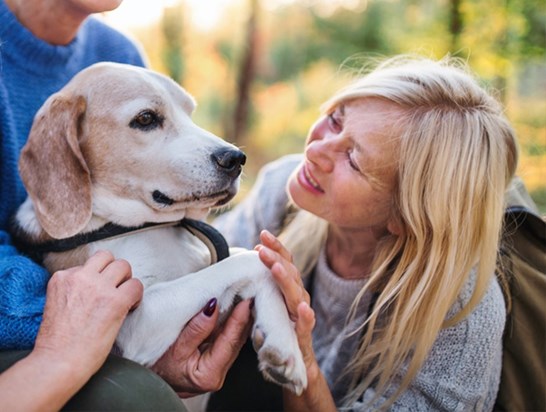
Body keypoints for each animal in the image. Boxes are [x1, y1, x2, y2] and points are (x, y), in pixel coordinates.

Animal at [12, 62, 306, 396]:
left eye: (190, 112)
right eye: (146, 119)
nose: (235, 158)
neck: (146, 226)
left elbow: (256, 262)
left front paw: (283, 345)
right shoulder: (139, 320)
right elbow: (252, 259)